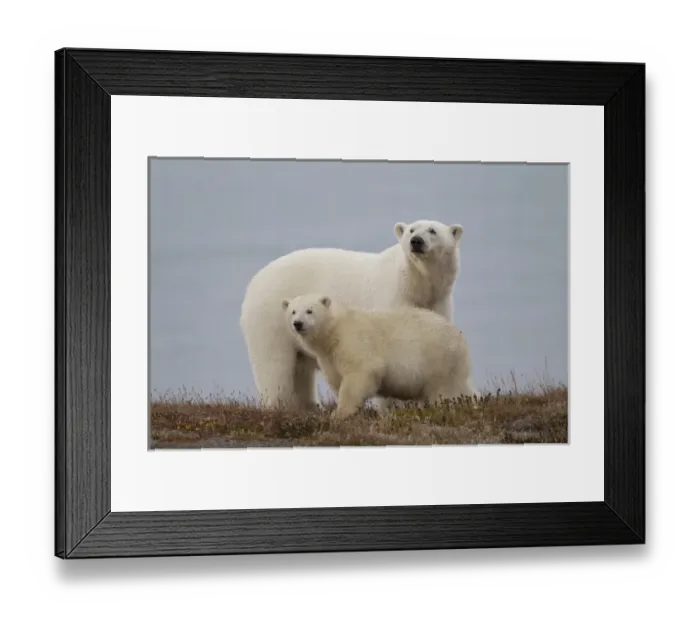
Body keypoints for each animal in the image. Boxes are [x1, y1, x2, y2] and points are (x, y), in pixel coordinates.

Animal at [240, 219, 465, 410]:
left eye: (432, 230)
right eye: (411, 229)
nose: (416, 241)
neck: (415, 284)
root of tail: (254, 282)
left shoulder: (437, 304)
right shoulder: (392, 300)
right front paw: (394, 407)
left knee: (301, 371)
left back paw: (309, 408)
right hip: (272, 321)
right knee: (275, 367)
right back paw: (278, 406)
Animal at [281, 294, 480, 420]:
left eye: (309, 310)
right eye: (293, 311)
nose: (297, 323)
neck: (334, 331)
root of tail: (461, 338)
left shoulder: (353, 340)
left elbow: (362, 371)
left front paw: (340, 413)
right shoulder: (328, 357)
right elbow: (337, 379)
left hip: (438, 358)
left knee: (444, 391)